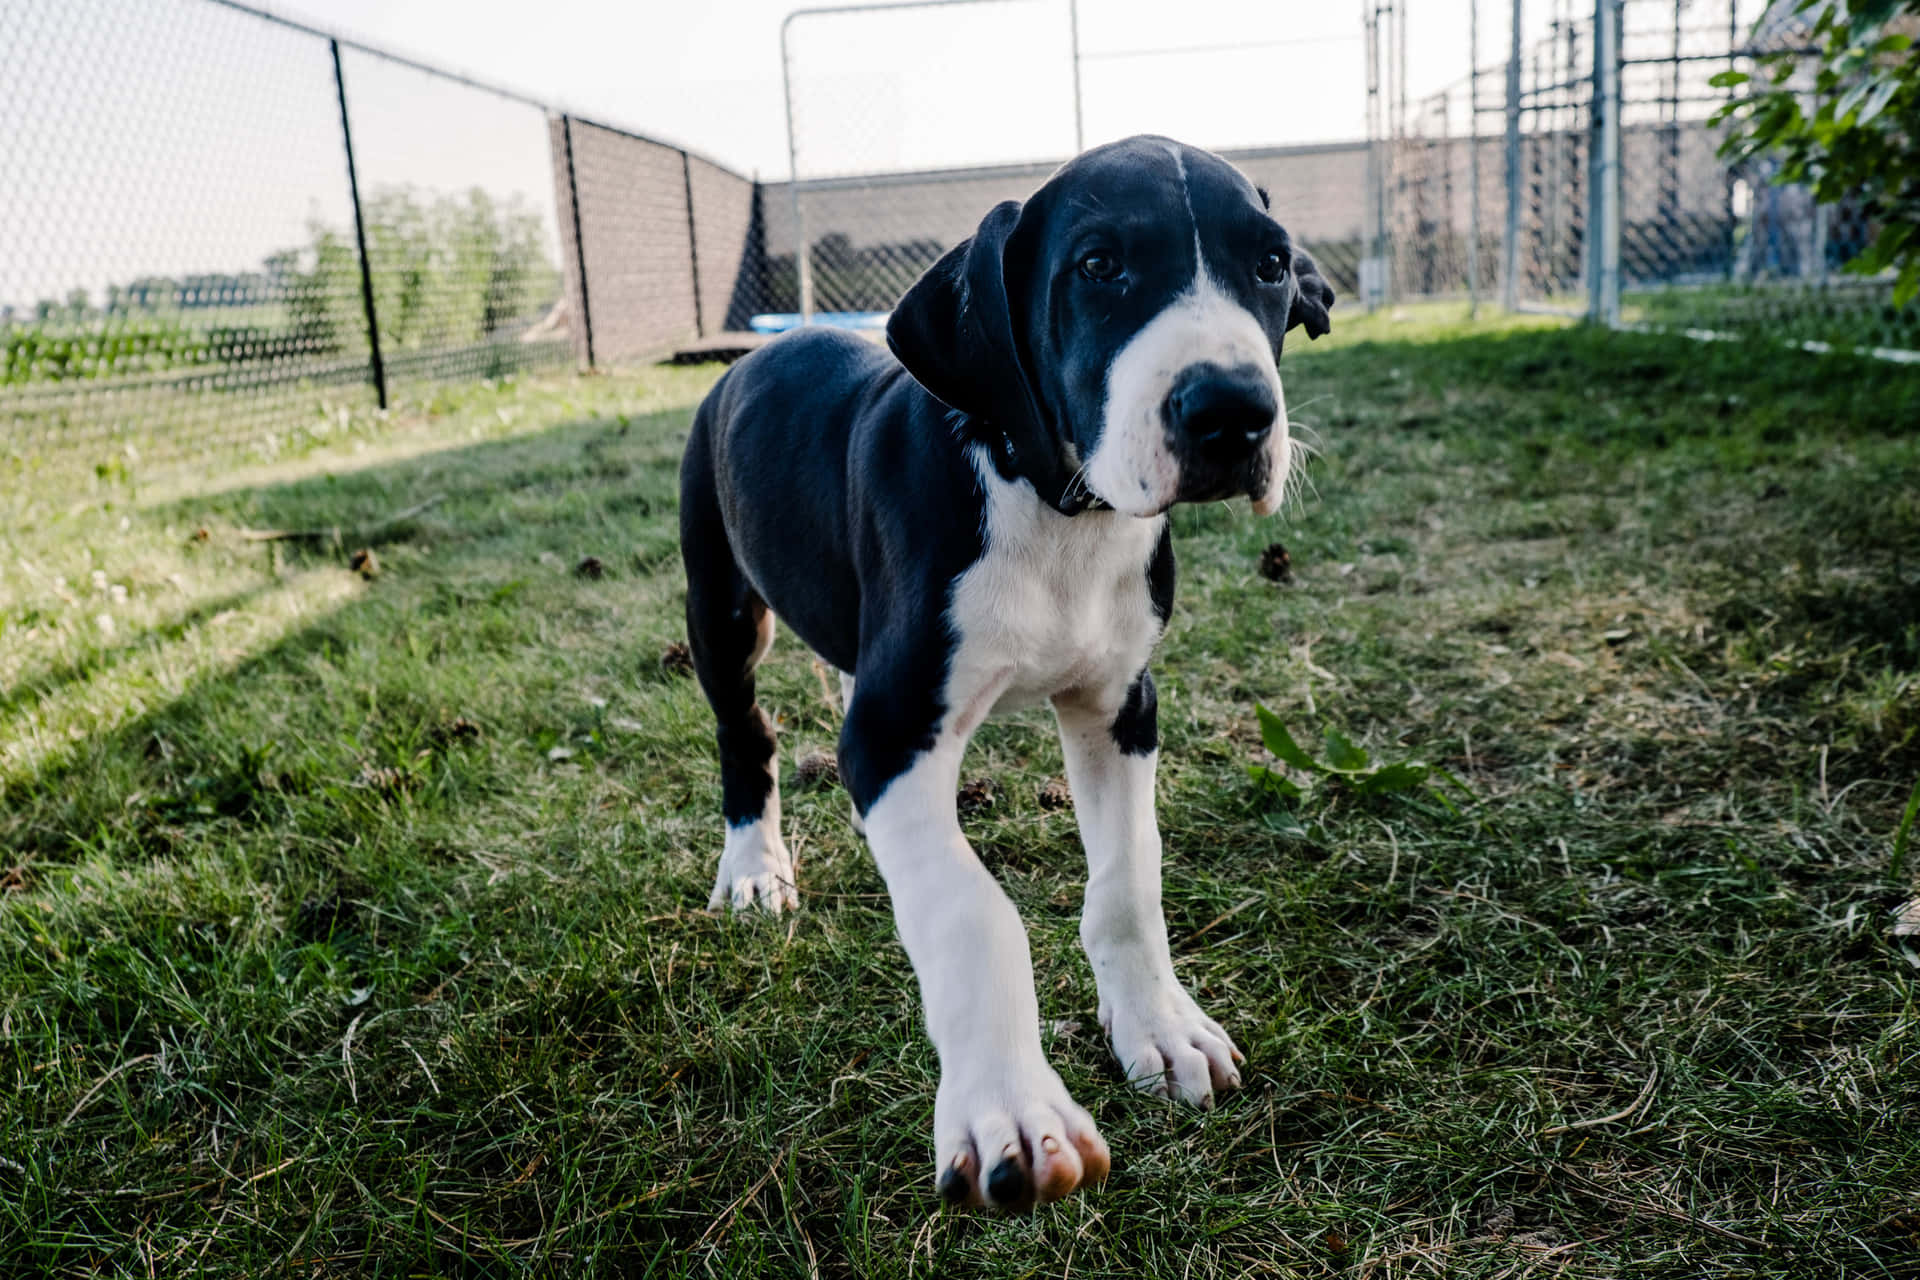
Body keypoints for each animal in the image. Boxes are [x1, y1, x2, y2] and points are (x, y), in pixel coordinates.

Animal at [679, 135, 1336, 1220]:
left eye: (1272, 264)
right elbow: (968, 907)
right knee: (747, 733)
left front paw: (1160, 1024)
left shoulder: (1121, 705)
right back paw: (752, 867)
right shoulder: (892, 730)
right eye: (1100, 265)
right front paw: (1012, 1108)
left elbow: (1128, 878)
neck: (1055, 500)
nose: (1233, 414)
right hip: (722, 603)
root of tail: (761, 350)